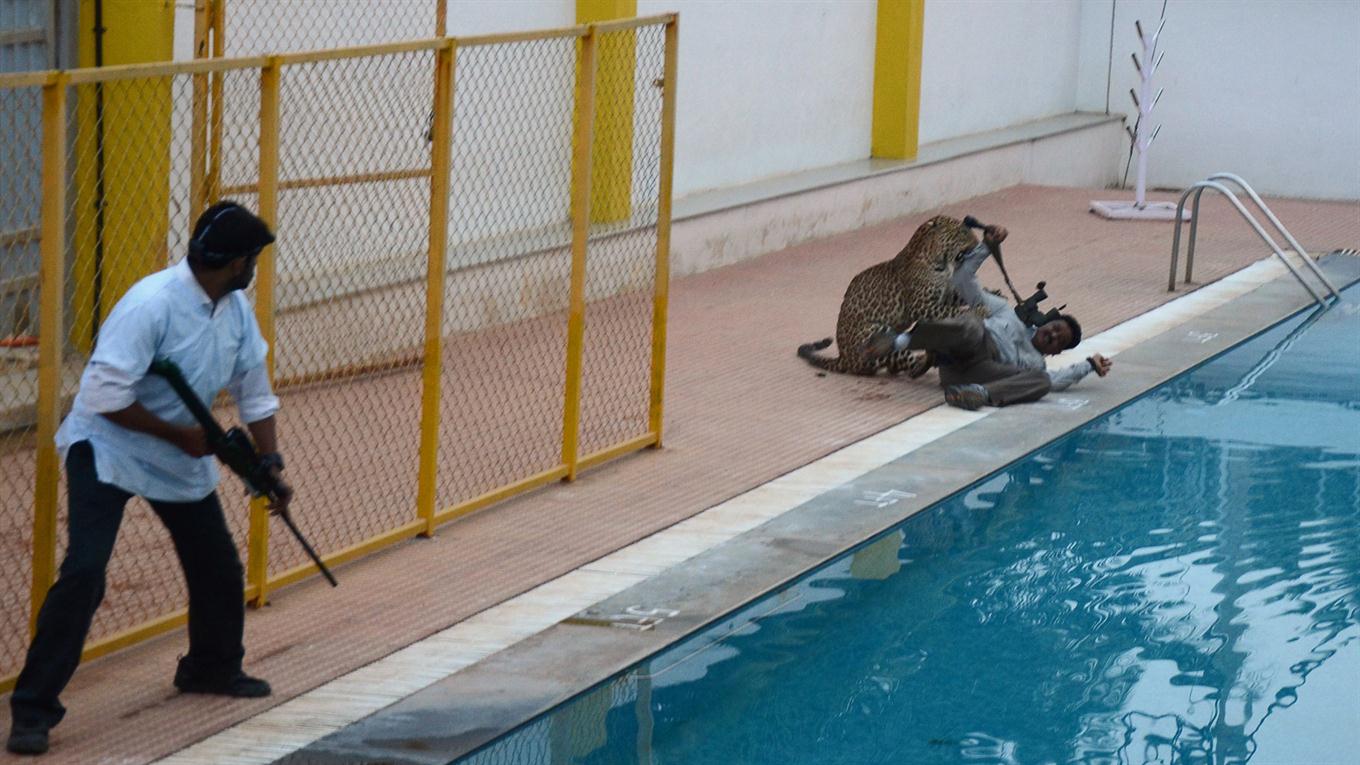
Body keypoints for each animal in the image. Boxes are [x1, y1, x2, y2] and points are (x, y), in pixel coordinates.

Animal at [796, 214, 991, 377]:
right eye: (962, 232)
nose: (977, 242)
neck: (941, 263)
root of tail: (843, 358)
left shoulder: (946, 294)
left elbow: (960, 298)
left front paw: (991, 293)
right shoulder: (923, 306)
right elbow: (953, 311)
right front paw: (980, 310)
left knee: (897, 367)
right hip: (877, 334)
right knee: (909, 367)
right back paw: (927, 357)